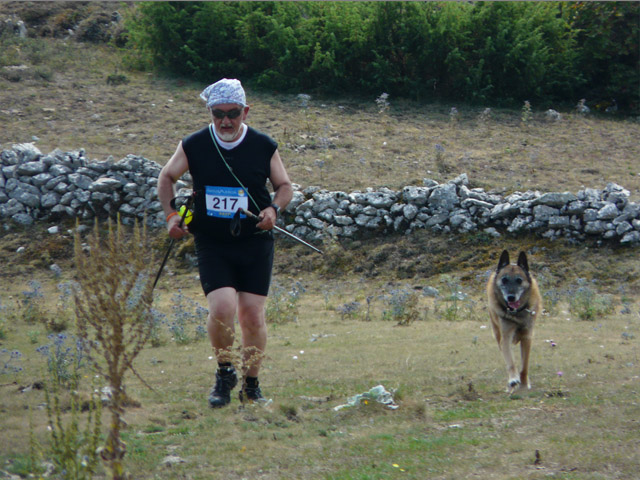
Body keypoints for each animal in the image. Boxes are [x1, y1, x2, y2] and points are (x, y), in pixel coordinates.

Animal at [488, 249, 544, 392]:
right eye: (504, 280)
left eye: (519, 280)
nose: (511, 297)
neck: (516, 313)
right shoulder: (506, 337)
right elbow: (511, 362)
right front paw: (513, 379)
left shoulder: (527, 338)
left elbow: (524, 367)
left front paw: (524, 384)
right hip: (497, 332)